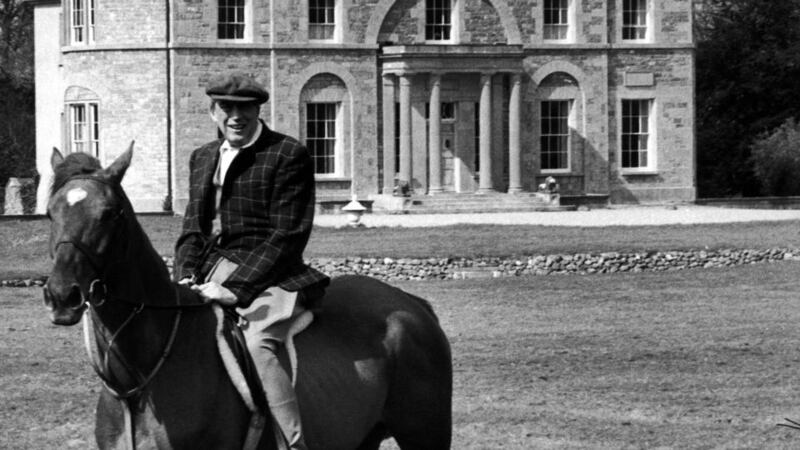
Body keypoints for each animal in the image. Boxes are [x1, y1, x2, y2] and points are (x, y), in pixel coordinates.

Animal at [43, 145, 454, 450]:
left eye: (110, 213)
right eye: (50, 213)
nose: (62, 294)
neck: (141, 380)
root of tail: (411, 304)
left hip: (426, 435)